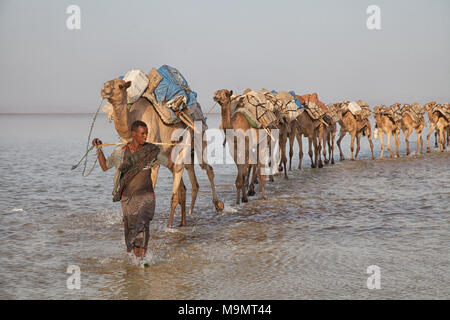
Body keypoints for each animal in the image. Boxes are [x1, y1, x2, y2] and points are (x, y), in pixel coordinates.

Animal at [100, 78, 223, 228]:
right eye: (107, 83)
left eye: (120, 86)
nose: (104, 89)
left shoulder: (153, 160)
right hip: (178, 156)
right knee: (189, 181)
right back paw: (185, 218)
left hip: (200, 142)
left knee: (207, 168)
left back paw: (217, 205)